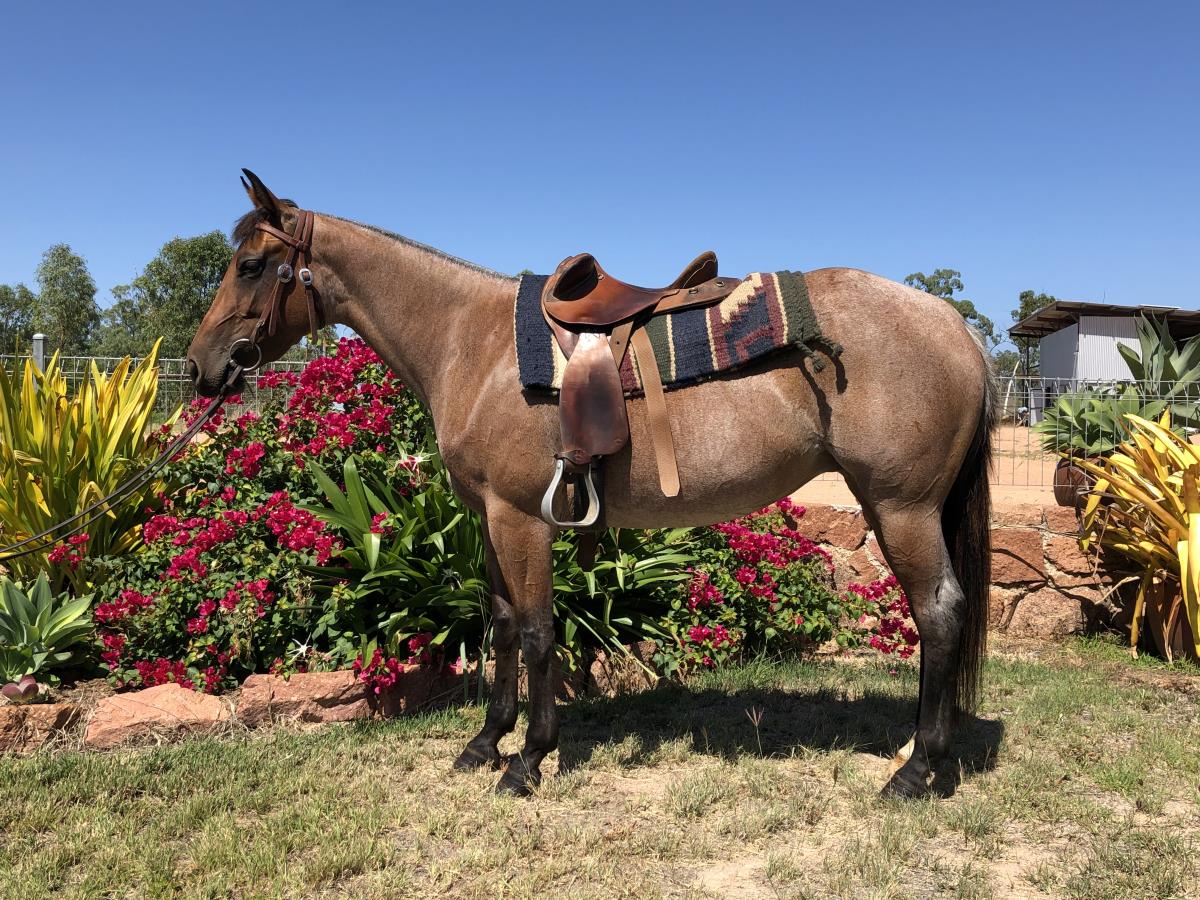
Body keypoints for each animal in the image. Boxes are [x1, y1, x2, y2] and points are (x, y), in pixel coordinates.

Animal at [187, 170, 995, 799]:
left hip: (902, 507)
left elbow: (538, 630)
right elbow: (500, 624)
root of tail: (953, 324)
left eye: (252, 264)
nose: (201, 367)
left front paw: (529, 760)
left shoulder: (521, 518)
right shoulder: (487, 518)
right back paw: (915, 753)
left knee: (939, 612)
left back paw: (916, 771)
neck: (471, 343)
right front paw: (485, 744)